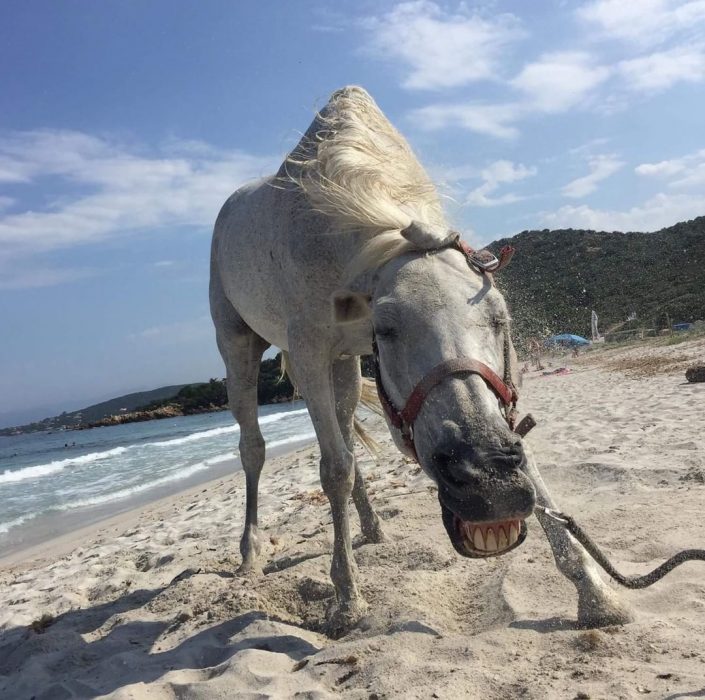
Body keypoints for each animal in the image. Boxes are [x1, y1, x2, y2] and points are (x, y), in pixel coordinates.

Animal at [210, 87, 632, 636]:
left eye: (500, 320)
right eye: (388, 329)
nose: (488, 481)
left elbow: (531, 463)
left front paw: (594, 593)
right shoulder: (306, 353)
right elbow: (333, 470)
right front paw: (347, 602)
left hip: (345, 368)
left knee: (347, 438)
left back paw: (372, 529)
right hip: (238, 347)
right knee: (255, 448)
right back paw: (251, 553)